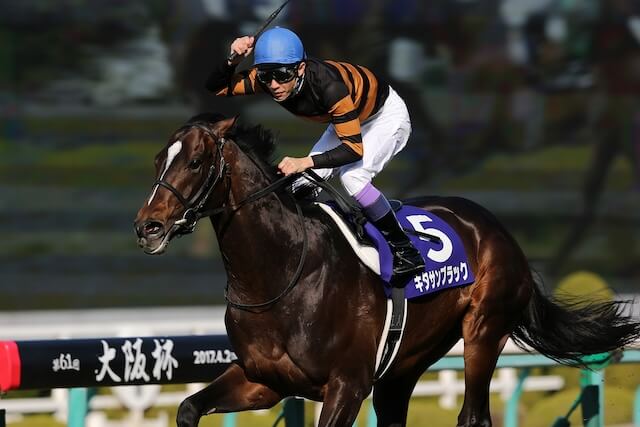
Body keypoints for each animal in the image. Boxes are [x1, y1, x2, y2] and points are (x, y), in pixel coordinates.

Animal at [134, 113, 640, 427]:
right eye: (158, 159)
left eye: (195, 161)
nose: (147, 226)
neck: (281, 274)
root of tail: (496, 229)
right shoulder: (264, 380)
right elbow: (187, 407)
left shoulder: (347, 385)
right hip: (405, 365)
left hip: (484, 331)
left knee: (473, 414)